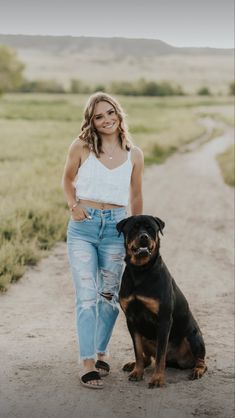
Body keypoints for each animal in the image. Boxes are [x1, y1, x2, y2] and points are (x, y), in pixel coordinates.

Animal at [116, 216, 207, 388]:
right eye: (134, 228)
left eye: (151, 229)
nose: (144, 237)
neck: (140, 271)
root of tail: (179, 361)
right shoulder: (131, 320)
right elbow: (137, 351)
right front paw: (137, 372)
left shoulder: (164, 320)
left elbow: (160, 355)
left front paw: (157, 379)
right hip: (144, 335)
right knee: (146, 357)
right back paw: (133, 365)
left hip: (193, 336)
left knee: (201, 360)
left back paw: (197, 370)